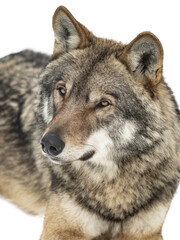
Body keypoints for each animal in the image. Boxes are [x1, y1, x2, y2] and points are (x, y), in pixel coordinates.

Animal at [0, 5, 180, 240]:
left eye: (103, 103)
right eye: (62, 91)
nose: (48, 144)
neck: (113, 185)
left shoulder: (147, 232)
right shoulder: (58, 228)